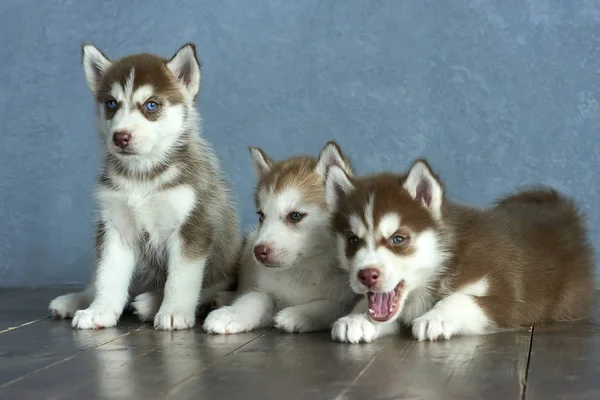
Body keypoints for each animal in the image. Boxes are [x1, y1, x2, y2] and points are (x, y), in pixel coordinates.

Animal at [48, 43, 241, 332]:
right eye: (111, 104)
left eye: (151, 105)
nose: (120, 137)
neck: (142, 177)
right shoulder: (114, 226)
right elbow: (107, 275)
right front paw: (100, 310)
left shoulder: (192, 226)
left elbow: (181, 278)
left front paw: (173, 312)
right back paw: (74, 300)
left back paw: (152, 303)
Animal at [204, 142, 358, 332]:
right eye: (261, 215)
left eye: (295, 216)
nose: (259, 251)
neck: (303, 270)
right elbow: (256, 297)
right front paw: (231, 314)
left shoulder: (347, 297)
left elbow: (331, 305)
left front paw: (296, 314)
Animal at [328, 158, 596, 342]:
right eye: (353, 240)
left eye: (398, 239)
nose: (367, 275)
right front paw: (356, 317)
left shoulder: (507, 299)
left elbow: (460, 298)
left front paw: (435, 317)